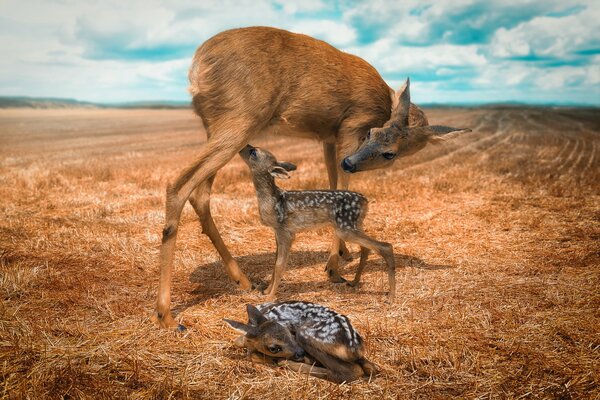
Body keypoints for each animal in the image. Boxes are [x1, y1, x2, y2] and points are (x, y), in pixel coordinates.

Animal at [225, 302, 376, 382]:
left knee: (349, 371)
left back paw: (285, 363)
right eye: (273, 348)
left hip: (305, 333)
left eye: (289, 332)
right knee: (371, 367)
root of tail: (353, 347)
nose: (300, 353)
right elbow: (240, 342)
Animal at [239, 144, 394, 300]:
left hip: (345, 228)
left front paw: (269, 298)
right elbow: (275, 263)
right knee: (367, 248)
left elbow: (279, 266)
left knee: (385, 246)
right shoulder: (277, 232)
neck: (272, 201)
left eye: (254, 152)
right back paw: (354, 282)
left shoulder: (286, 232)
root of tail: (365, 201)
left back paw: (391, 296)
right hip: (354, 225)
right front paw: (266, 291)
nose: (245, 146)